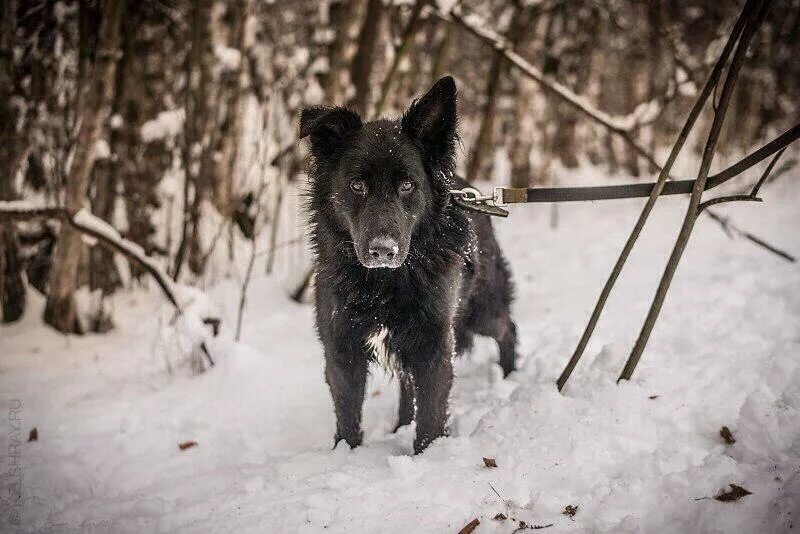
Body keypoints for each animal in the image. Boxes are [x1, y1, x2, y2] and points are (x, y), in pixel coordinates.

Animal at [302, 76, 520, 456]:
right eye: (356, 184)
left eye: (407, 185)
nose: (382, 251)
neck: (384, 284)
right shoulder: (341, 346)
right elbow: (348, 419)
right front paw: (346, 455)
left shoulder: (434, 342)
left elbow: (431, 415)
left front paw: (429, 457)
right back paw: (400, 427)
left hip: (480, 311)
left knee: (508, 328)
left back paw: (509, 378)